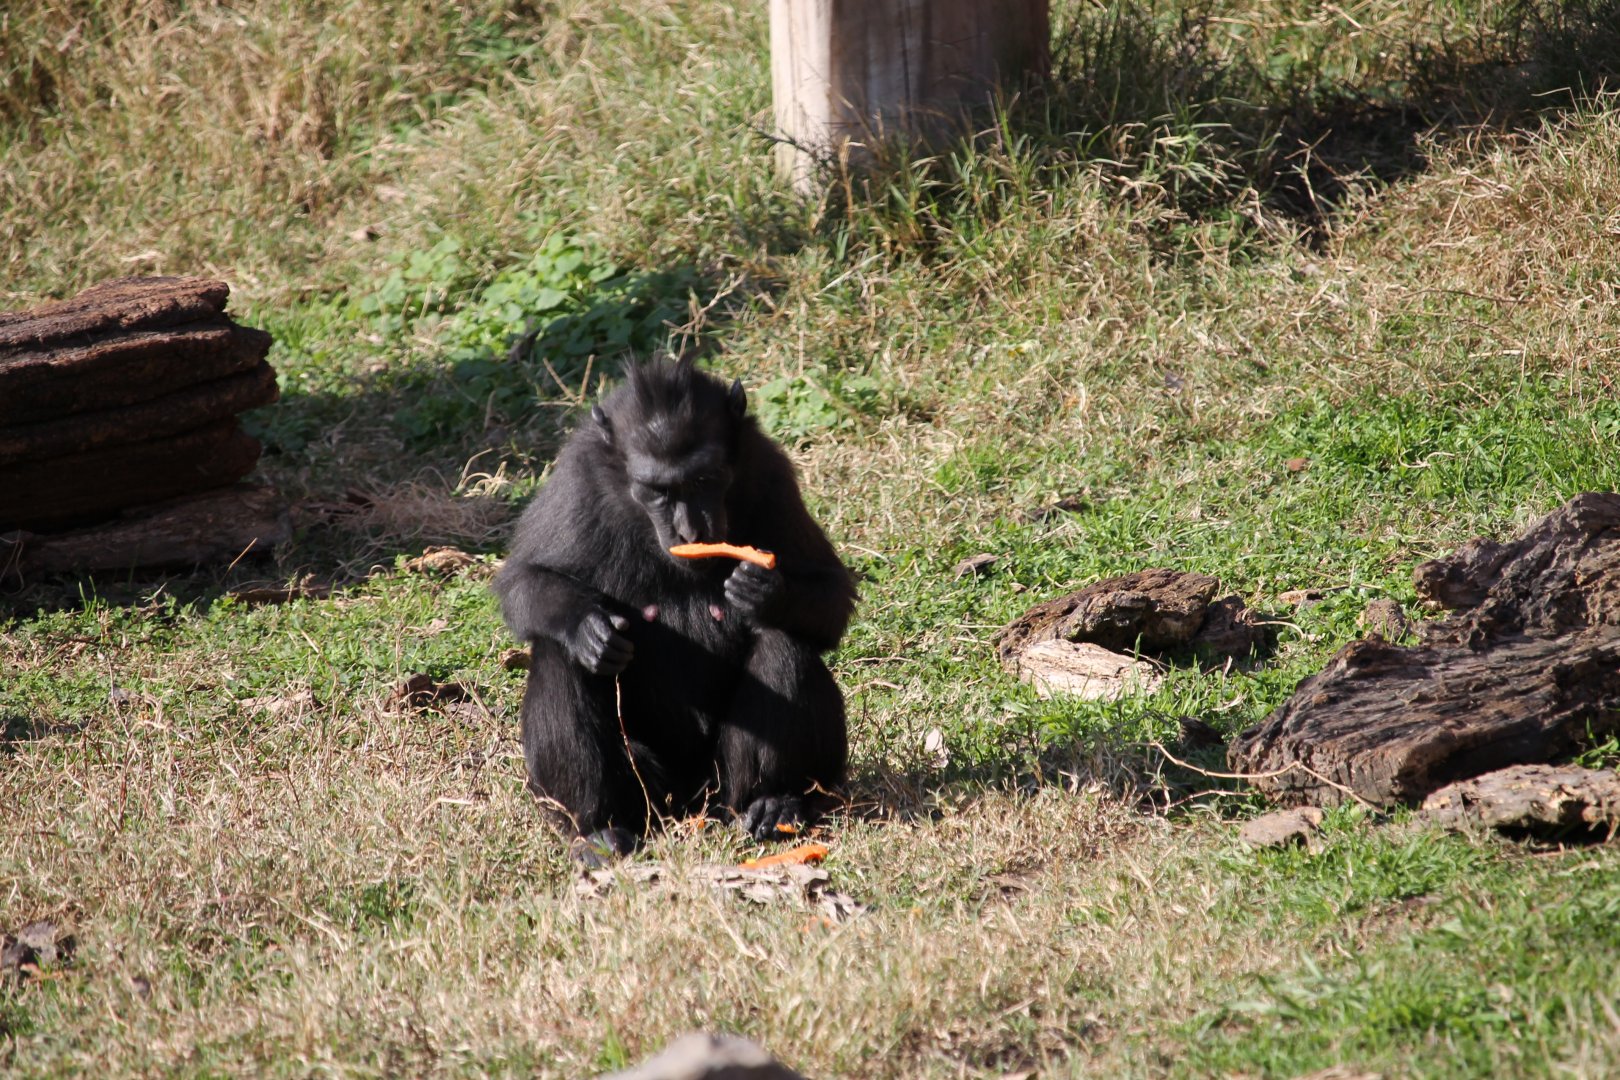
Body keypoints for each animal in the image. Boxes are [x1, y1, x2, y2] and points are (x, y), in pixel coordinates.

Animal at [493, 359, 857, 860]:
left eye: (703, 479)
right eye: (656, 489)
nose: (691, 531)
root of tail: (691, 803)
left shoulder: (770, 471)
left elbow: (831, 593)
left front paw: (766, 593)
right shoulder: (576, 481)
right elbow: (522, 580)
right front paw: (587, 627)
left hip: (722, 787)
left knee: (785, 644)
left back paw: (774, 800)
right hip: (651, 791)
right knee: (559, 658)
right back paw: (598, 826)